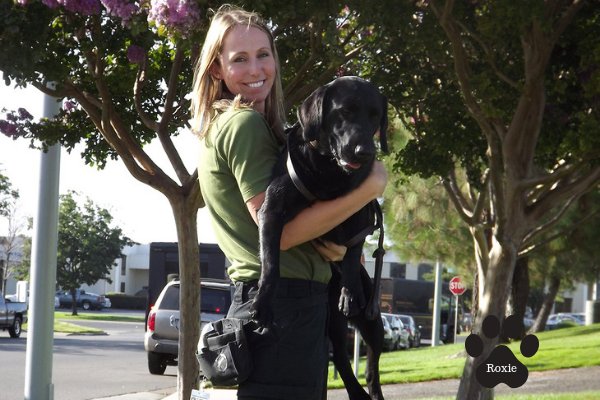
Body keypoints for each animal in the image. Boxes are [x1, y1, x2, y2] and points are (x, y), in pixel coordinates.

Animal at [250, 76, 386, 400]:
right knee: (341, 357)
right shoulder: (271, 210)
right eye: (345, 110)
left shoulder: (360, 215)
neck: (328, 168)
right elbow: (271, 264)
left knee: (371, 367)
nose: (365, 152)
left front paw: (349, 293)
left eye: (376, 116)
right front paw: (263, 302)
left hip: (373, 319)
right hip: (335, 326)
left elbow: (352, 252)